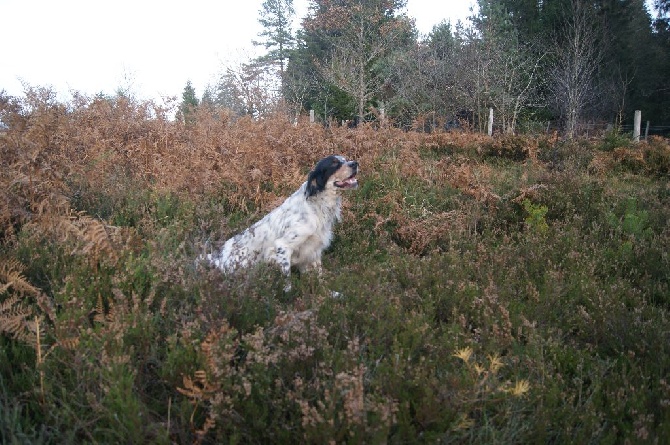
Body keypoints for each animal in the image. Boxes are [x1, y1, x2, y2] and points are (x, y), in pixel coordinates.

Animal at [206, 155, 360, 288]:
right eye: (334, 163)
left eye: (345, 159)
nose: (355, 163)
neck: (317, 206)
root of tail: (219, 258)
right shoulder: (283, 247)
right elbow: (287, 281)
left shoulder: (314, 251)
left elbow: (320, 278)